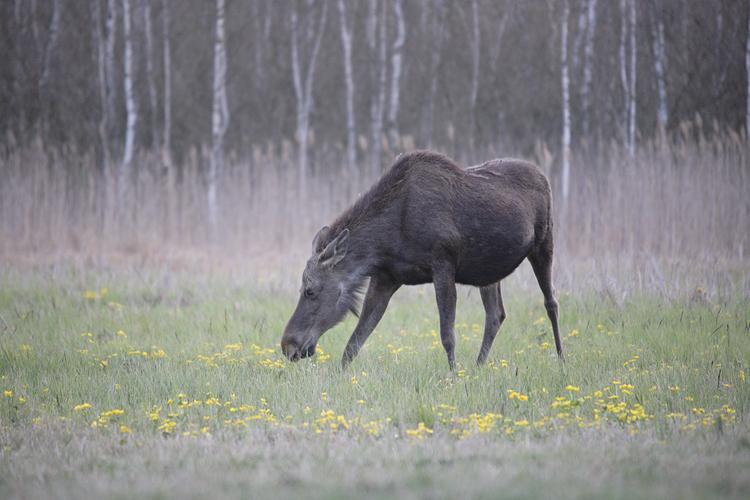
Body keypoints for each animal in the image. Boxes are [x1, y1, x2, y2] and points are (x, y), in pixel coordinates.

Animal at [282, 150, 564, 370]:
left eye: (310, 290)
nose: (288, 345)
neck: (385, 241)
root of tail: (542, 175)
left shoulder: (443, 264)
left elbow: (447, 334)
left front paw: (453, 375)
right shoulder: (386, 277)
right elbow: (357, 338)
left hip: (544, 243)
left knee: (551, 302)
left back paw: (561, 358)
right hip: (490, 272)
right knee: (496, 315)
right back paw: (478, 366)